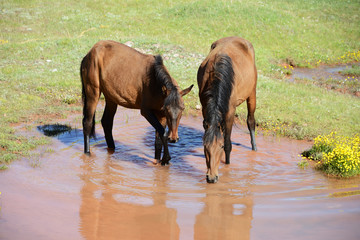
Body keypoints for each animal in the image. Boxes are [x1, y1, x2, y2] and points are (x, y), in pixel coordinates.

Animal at [197, 36, 258, 183]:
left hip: (252, 92)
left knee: (251, 121)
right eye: (205, 147)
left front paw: (228, 167)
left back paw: (254, 149)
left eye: (220, 147)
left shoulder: (230, 112)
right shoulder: (205, 107)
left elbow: (228, 143)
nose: (211, 178)